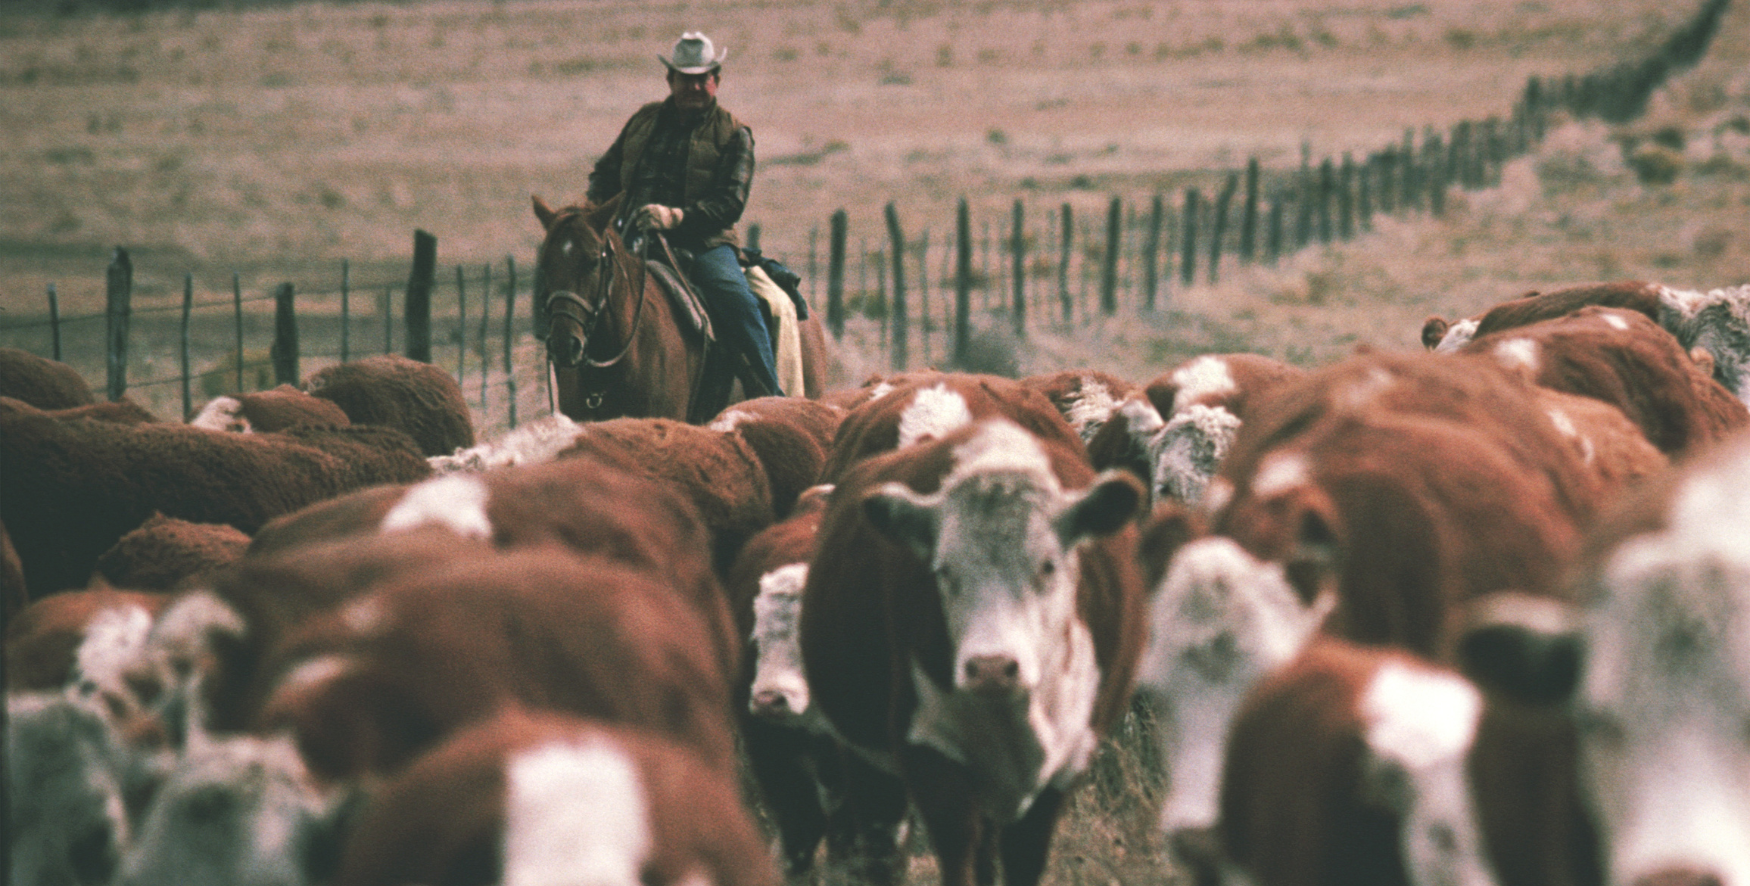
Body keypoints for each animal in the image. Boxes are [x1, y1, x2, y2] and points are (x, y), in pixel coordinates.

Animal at [801, 417, 1146, 886]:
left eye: (1049, 565)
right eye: (943, 569)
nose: (991, 667)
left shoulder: (1064, 766)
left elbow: (1023, 859)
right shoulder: (928, 754)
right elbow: (955, 848)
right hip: (867, 763)